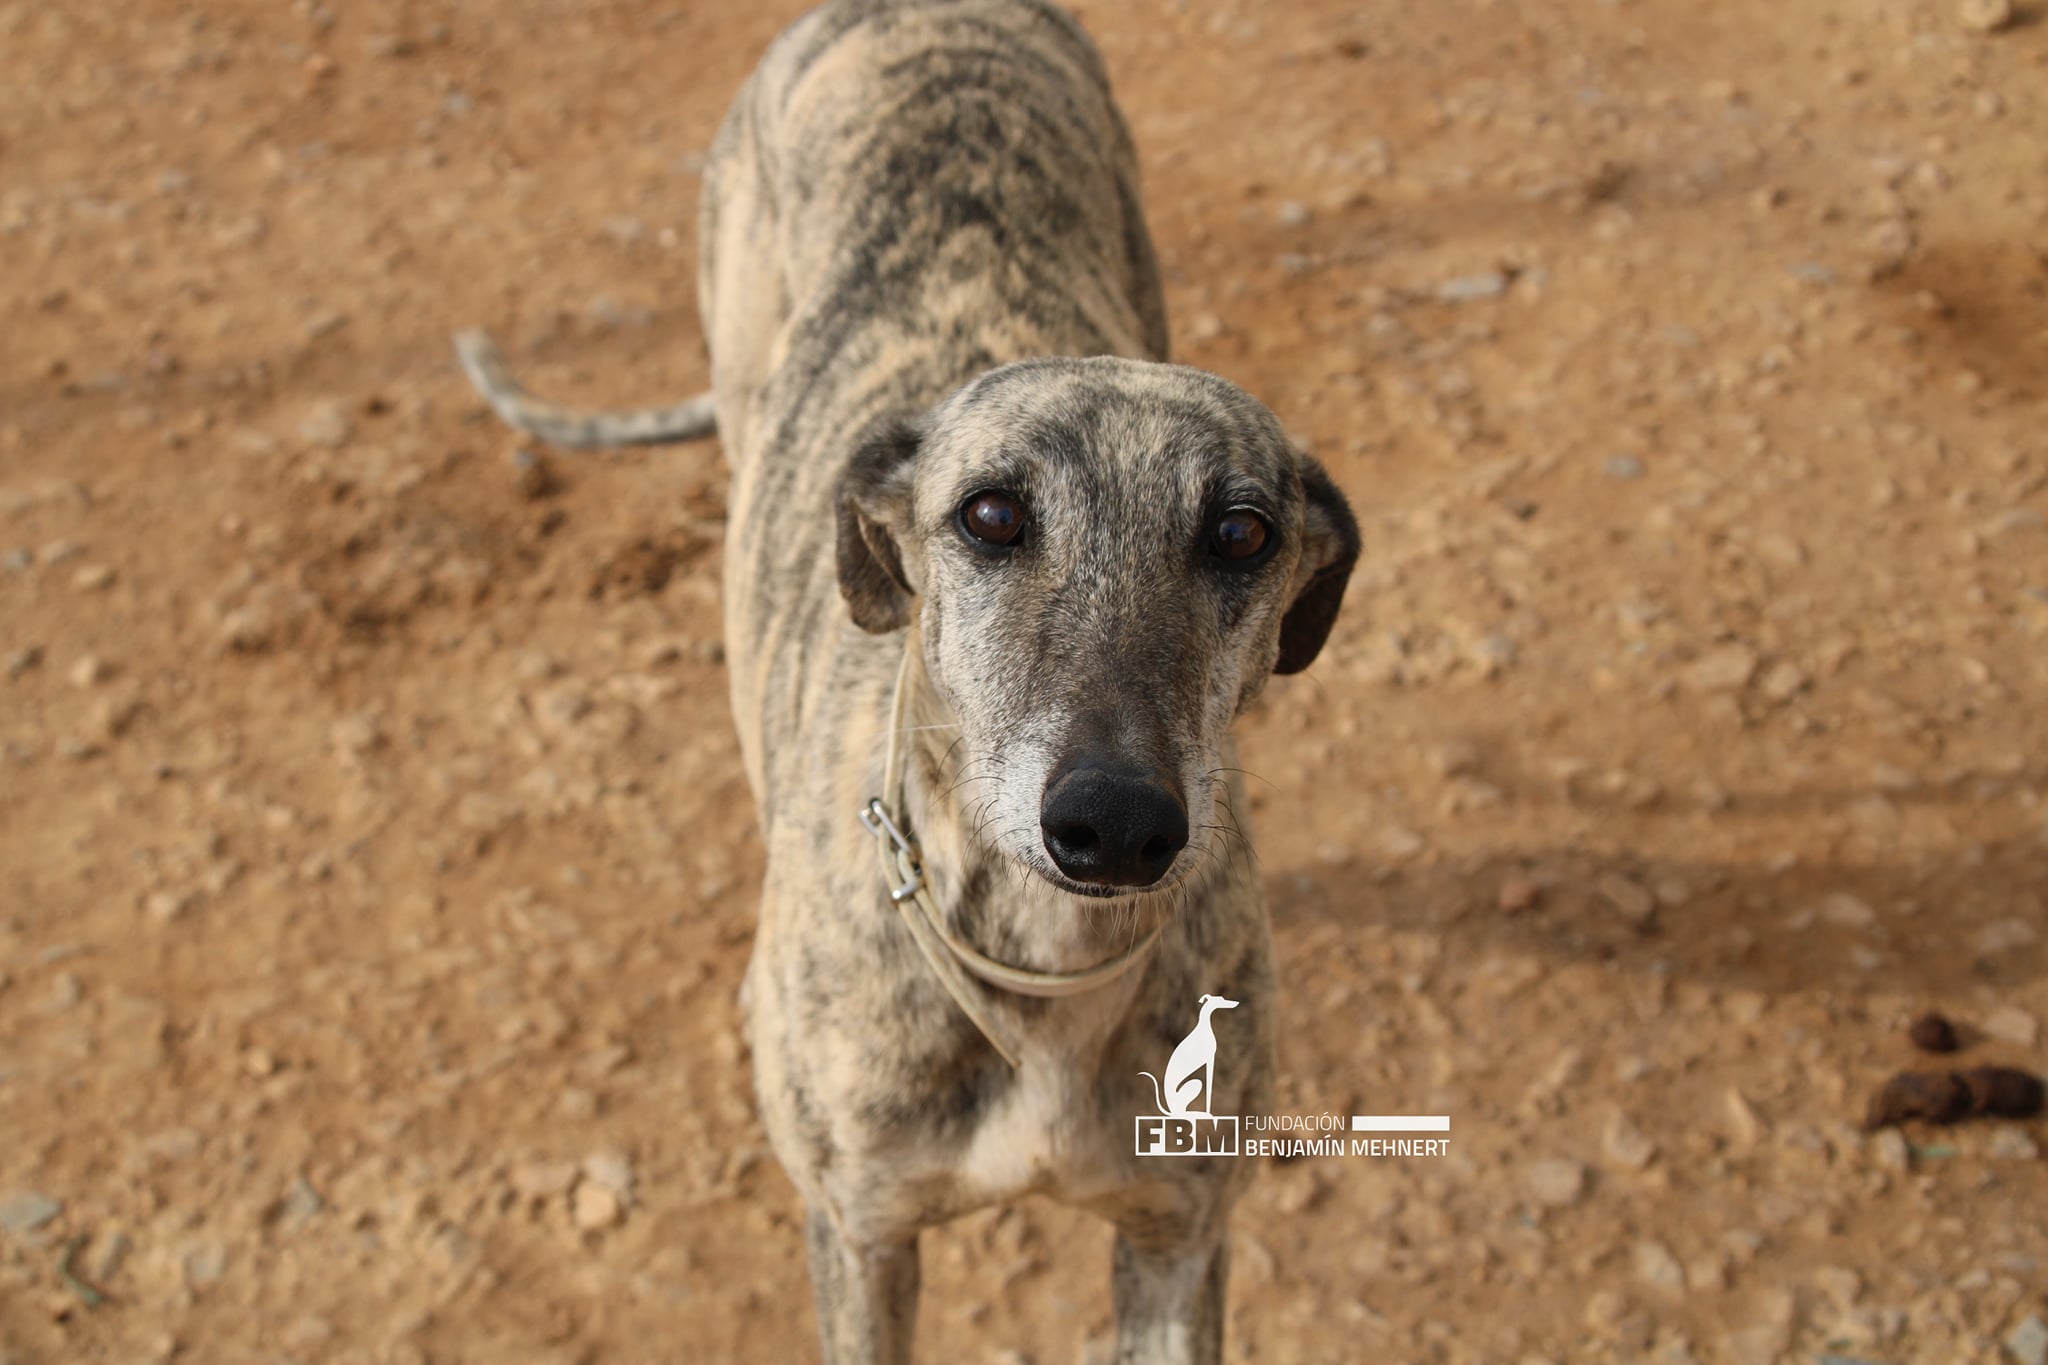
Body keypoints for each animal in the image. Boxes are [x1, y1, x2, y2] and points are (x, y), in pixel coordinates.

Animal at [456, 2, 1359, 1360]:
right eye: (988, 515)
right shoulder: (860, 1232)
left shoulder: (1177, 1235)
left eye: (1243, 534)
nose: (1115, 826)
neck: (1042, 971)